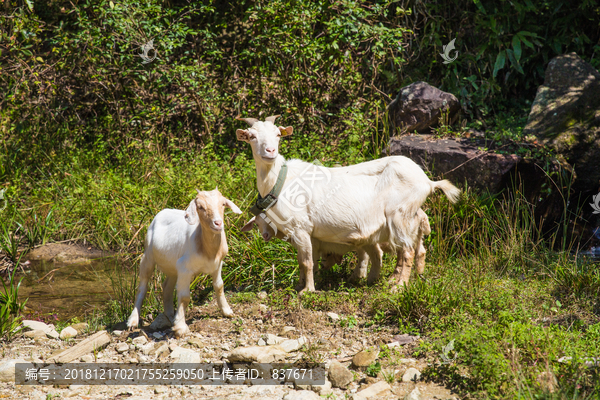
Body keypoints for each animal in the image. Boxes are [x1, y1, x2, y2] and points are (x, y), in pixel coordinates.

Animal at [126, 188, 241, 338]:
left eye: (223, 204)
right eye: (200, 207)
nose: (218, 223)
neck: (207, 249)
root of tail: (163, 211)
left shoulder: (217, 264)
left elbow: (219, 286)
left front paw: (227, 311)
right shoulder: (185, 268)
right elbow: (185, 297)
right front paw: (181, 327)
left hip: (172, 266)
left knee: (166, 287)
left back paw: (170, 316)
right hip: (148, 255)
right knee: (142, 287)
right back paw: (133, 321)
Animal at [236, 114, 460, 292]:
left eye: (278, 134)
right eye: (252, 136)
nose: (270, 151)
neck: (280, 182)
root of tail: (428, 181)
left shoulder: (301, 228)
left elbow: (307, 262)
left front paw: (307, 291)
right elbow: (302, 261)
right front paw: (299, 285)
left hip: (400, 216)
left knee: (407, 252)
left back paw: (398, 287)